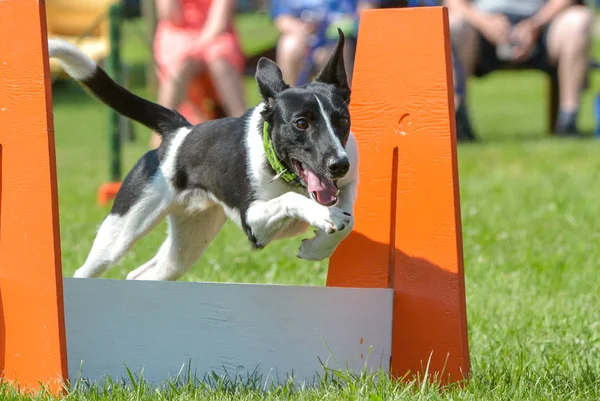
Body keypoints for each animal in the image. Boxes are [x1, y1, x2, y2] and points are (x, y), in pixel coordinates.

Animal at [50, 29, 356, 280]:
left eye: (342, 121)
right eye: (301, 123)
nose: (339, 165)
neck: (284, 172)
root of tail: (178, 131)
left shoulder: (346, 185)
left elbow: (349, 219)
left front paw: (317, 246)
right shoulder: (254, 223)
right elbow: (291, 200)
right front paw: (325, 217)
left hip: (190, 238)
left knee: (142, 274)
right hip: (123, 228)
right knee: (86, 270)